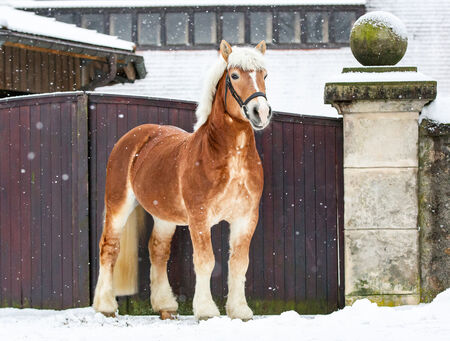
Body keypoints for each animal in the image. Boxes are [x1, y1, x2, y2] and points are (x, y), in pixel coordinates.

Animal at [93, 39, 272, 318]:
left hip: (164, 216)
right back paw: (106, 306)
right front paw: (206, 310)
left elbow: (239, 263)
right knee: (109, 247)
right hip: (118, 205)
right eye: (234, 75)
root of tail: (133, 137)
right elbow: (206, 261)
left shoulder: (246, 217)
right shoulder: (199, 217)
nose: (260, 112)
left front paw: (239, 310)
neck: (230, 157)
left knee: (158, 250)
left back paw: (165, 305)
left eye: (264, 75)